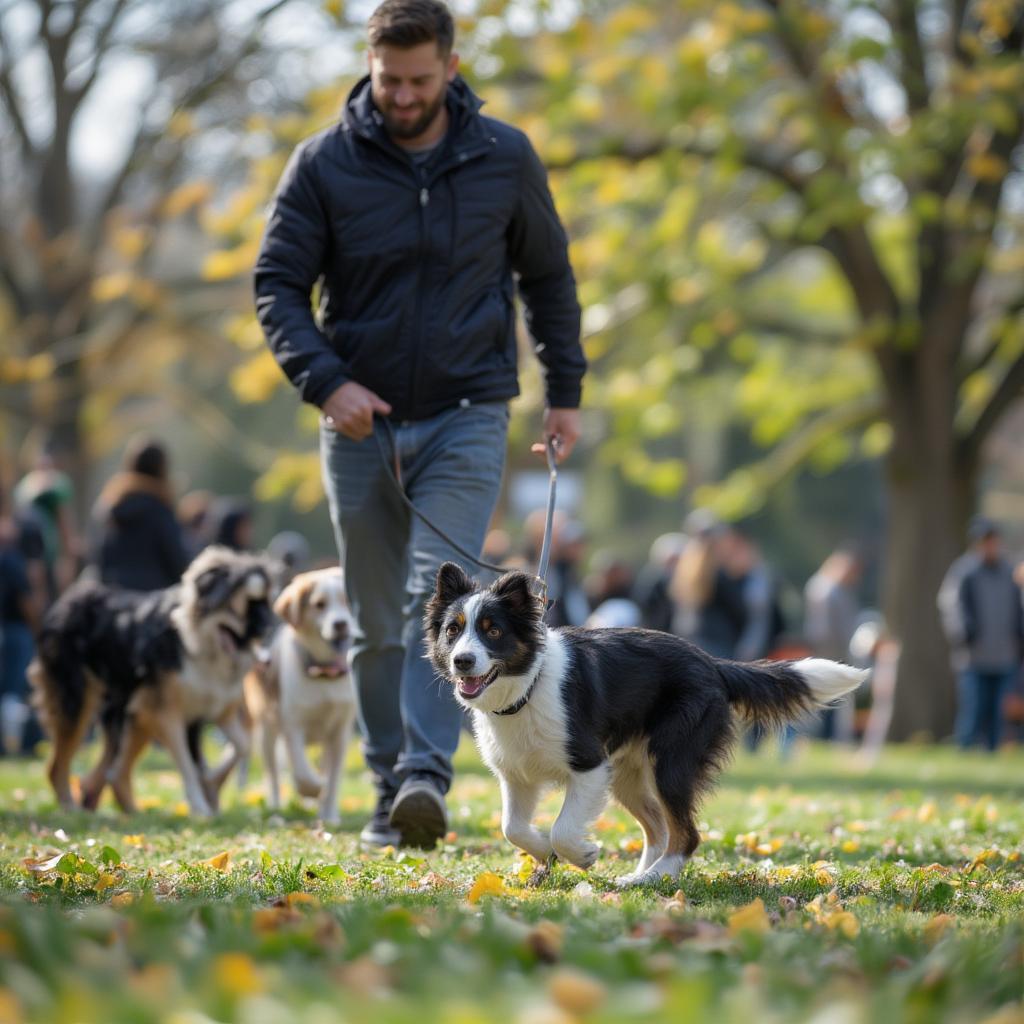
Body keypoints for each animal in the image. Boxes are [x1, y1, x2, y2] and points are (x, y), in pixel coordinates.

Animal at [29, 548, 274, 819]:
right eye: (246, 605)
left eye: (265, 601)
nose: (270, 626)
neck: (195, 643)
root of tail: (67, 599)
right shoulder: (168, 715)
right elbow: (189, 765)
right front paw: (201, 806)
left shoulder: (213, 713)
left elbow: (242, 746)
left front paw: (211, 786)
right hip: (79, 702)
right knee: (59, 767)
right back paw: (73, 810)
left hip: (133, 716)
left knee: (113, 773)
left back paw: (130, 813)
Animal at [423, 565, 864, 884]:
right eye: (452, 630)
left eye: (493, 630)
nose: (462, 661)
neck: (526, 688)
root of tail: (713, 664)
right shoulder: (517, 775)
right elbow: (511, 826)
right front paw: (545, 853)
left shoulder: (589, 765)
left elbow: (563, 827)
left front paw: (582, 854)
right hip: (627, 774)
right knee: (658, 828)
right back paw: (639, 877)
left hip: (669, 761)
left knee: (685, 833)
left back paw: (654, 879)